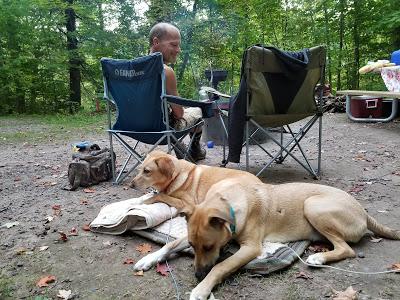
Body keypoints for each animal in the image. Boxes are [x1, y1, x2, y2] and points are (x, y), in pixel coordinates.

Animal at [135, 176, 400, 300]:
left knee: (348, 249)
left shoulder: (251, 248)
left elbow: (220, 266)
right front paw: (150, 258)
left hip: (313, 206)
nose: (198, 275)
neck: (229, 201)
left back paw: (319, 259)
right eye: (192, 245)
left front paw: (202, 288)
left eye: (210, 246)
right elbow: (170, 242)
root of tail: (364, 212)